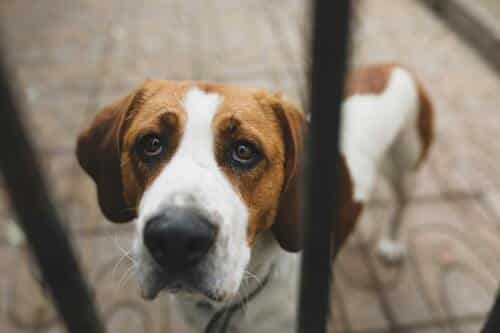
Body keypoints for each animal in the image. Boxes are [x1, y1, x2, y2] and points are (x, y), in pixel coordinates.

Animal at [76, 63, 432, 332]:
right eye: (151, 143)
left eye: (244, 151)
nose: (176, 237)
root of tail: (392, 66)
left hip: (406, 166)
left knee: (401, 204)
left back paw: (391, 244)